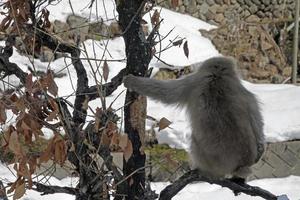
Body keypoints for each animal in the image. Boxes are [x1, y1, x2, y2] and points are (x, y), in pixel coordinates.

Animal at [123, 56, 264, 180]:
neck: (217, 76)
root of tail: (240, 164)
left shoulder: (193, 82)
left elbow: (166, 93)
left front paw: (132, 81)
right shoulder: (244, 91)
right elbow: (256, 117)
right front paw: (261, 150)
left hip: (209, 161)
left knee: (194, 139)